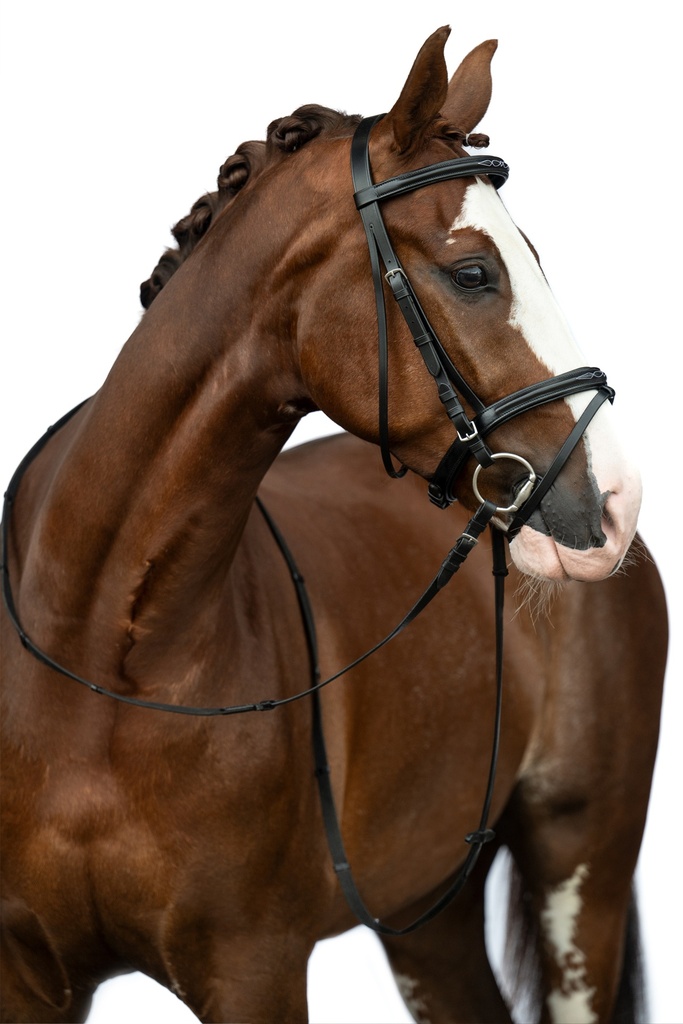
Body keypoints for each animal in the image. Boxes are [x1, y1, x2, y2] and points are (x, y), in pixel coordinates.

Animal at [0, 26, 667, 1024]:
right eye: (474, 272)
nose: (613, 502)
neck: (103, 657)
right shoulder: (27, 972)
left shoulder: (255, 969)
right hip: (427, 905)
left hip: (578, 868)